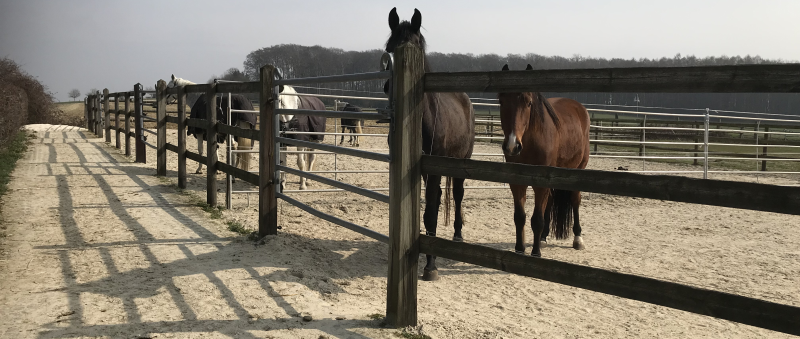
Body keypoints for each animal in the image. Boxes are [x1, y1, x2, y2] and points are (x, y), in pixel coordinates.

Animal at [386, 7, 476, 282]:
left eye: (414, 45)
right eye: (389, 47)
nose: (390, 86)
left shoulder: (435, 170)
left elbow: (431, 213)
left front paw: (430, 265)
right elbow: (424, 211)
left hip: (460, 163)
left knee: (457, 195)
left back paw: (457, 234)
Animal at [496, 63, 592, 258]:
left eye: (528, 103)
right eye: (501, 102)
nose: (512, 146)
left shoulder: (540, 184)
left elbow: (537, 219)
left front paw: (535, 253)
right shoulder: (516, 182)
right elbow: (520, 217)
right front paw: (519, 249)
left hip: (578, 169)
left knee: (575, 199)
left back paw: (578, 238)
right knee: (549, 202)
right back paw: (543, 237)